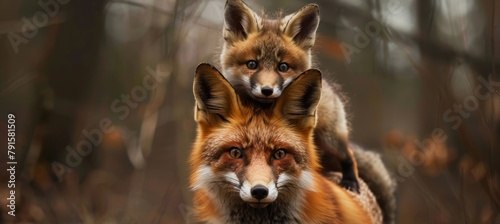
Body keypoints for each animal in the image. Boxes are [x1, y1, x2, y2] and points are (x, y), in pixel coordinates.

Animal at [218, 0, 360, 192]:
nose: (267, 90)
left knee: (348, 155)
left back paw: (351, 180)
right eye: (252, 64)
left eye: (283, 67)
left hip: (330, 138)